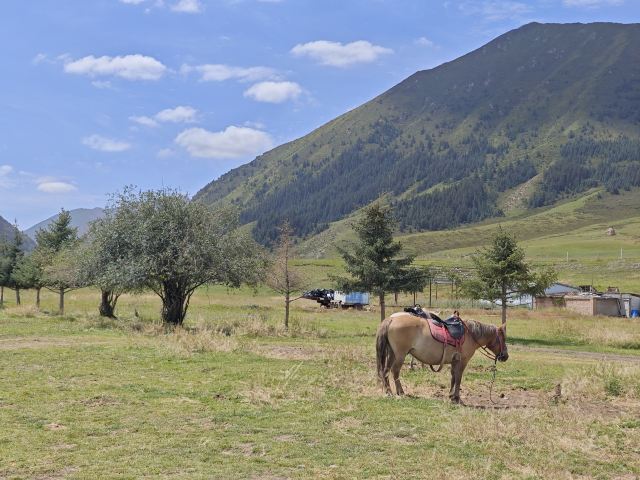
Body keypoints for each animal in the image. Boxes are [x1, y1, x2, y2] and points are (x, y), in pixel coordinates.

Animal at [376, 312, 508, 403]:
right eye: (503, 338)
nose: (505, 356)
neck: (470, 335)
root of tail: (392, 319)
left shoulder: (455, 361)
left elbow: (453, 377)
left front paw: (451, 396)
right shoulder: (463, 361)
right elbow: (459, 378)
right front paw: (457, 398)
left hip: (391, 353)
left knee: (386, 371)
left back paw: (389, 392)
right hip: (400, 355)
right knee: (395, 371)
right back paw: (400, 392)